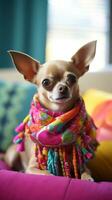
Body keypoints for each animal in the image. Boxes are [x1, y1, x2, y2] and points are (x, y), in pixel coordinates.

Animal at [4, 40, 97, 180]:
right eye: (46, 82)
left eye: (72, 78)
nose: (63, 88)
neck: (58, 115)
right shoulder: (32, 168)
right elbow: (49, 174)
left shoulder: (81, 165)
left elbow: (85, 172)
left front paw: (87, 179)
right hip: (13, 154)